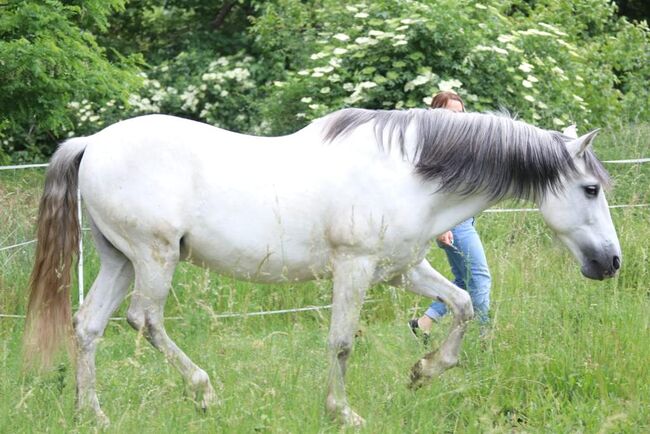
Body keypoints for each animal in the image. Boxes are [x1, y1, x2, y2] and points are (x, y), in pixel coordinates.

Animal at [24, 107, 616, 426]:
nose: (611, 262)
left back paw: (93, 414)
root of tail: (93, 142)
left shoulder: (402, 269)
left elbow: (465, 305)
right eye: (590, 188)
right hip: (154, 256)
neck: (410, 173)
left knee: (89, 326)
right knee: (144, 320)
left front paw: (423, 372)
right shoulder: (354, 267)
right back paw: (204, 390)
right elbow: (342, 342)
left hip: (119, 259)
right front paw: (342, 412)